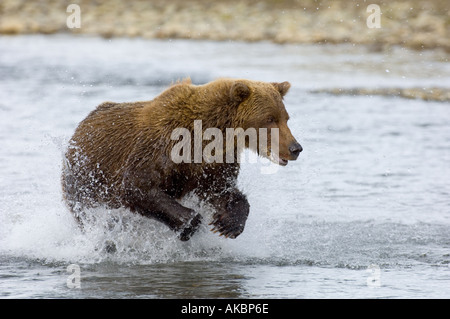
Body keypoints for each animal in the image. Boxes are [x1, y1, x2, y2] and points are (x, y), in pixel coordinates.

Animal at [62, 78, 302, 240]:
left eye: (286, 117)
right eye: (269, 118)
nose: (295, 148)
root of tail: (80, 127)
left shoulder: (213, 163)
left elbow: (220, 190)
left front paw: (227, 223)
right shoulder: (160, 148)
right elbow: (137, 186)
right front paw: (191, 223)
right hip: (85, 181)